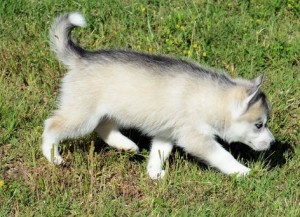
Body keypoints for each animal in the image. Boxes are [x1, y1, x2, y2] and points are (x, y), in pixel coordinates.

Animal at [42, 12, 274, 179]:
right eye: (259, 125)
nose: (272, 143)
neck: (209, 99)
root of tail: (82, 57)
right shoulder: (195, 137)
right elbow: (222, 155)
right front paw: (242, 171)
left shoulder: (166, 133)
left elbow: (158, 154)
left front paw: (154, 174)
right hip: (82, 115)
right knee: (51, 126)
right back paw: (53, 156)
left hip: (108, 111)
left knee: (104, 127)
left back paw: (126, 145)